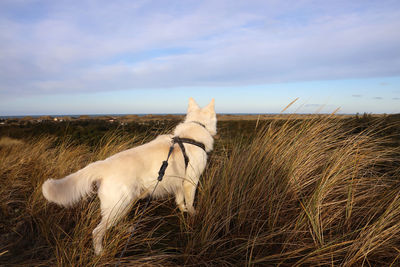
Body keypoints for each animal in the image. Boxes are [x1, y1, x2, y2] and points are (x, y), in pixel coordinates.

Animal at [42, 98, 217, 255]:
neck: (192, 135)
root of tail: (103, 165)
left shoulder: (179, 182)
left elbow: (180, 202)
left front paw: (183, 211)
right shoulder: (190, 182)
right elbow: (191, 203)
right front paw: (193, 216)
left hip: (124, 204)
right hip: (118, 205)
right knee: (97, 231)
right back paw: (100, 252)